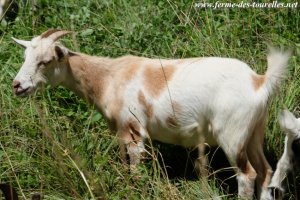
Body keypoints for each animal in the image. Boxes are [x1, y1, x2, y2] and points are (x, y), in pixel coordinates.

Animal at [12, 28, 290, 199]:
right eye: (25, 56)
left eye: (46, 60)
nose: (17, 85)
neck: (108, 78)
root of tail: (259, 81)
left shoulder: (134, 131)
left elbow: (135, 171)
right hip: (254, 132)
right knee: (265, 171)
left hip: (232, 135)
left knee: (247, 175)